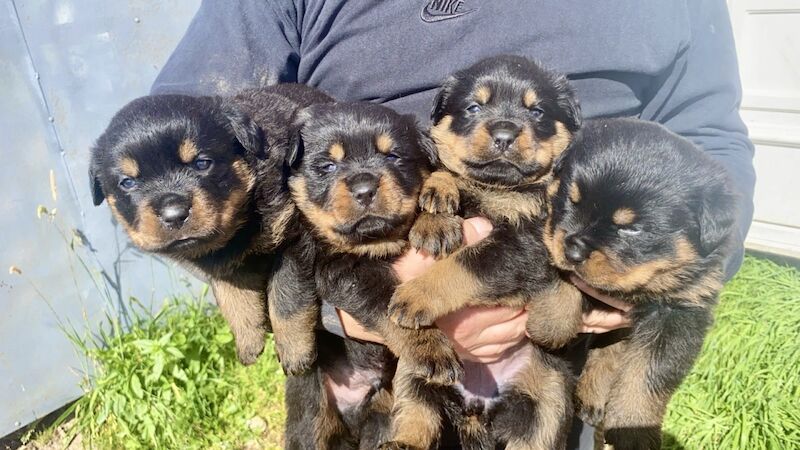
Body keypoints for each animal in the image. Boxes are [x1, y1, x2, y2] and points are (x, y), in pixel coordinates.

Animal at [89, 85, 332, 372]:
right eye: (127, 182)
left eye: (202, 163)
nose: (174, 215)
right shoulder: (223, 263)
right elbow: (231, 296)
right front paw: (248, 340)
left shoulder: (292, 233)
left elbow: (287, 296)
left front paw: (295, 351)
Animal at [286, 103, 466, 450]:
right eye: (327, 166)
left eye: (393, 156)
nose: (364, 189)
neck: (375, 242)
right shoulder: (339, 269)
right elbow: (387, 303)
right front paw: (430, 347)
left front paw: (434, 220)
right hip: (311, 414)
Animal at [386, 56, 580, 450]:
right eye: (474, 107)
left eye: (536, 111)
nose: (504, 135)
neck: (495, 188)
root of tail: (477, 412)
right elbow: (447, 174)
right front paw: (436, 214)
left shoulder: (522, 244)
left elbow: (464, 264)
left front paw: (414, 295)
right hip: (415, 371)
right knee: (417, 411)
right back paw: (400, 443)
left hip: (550, 397)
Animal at [544, 118, 736, 448]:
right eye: (572, 200)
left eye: (632, 229)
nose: (574, 251)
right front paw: (552, 321)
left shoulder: (680, 312)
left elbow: (646, 375)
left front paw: (632, 429)